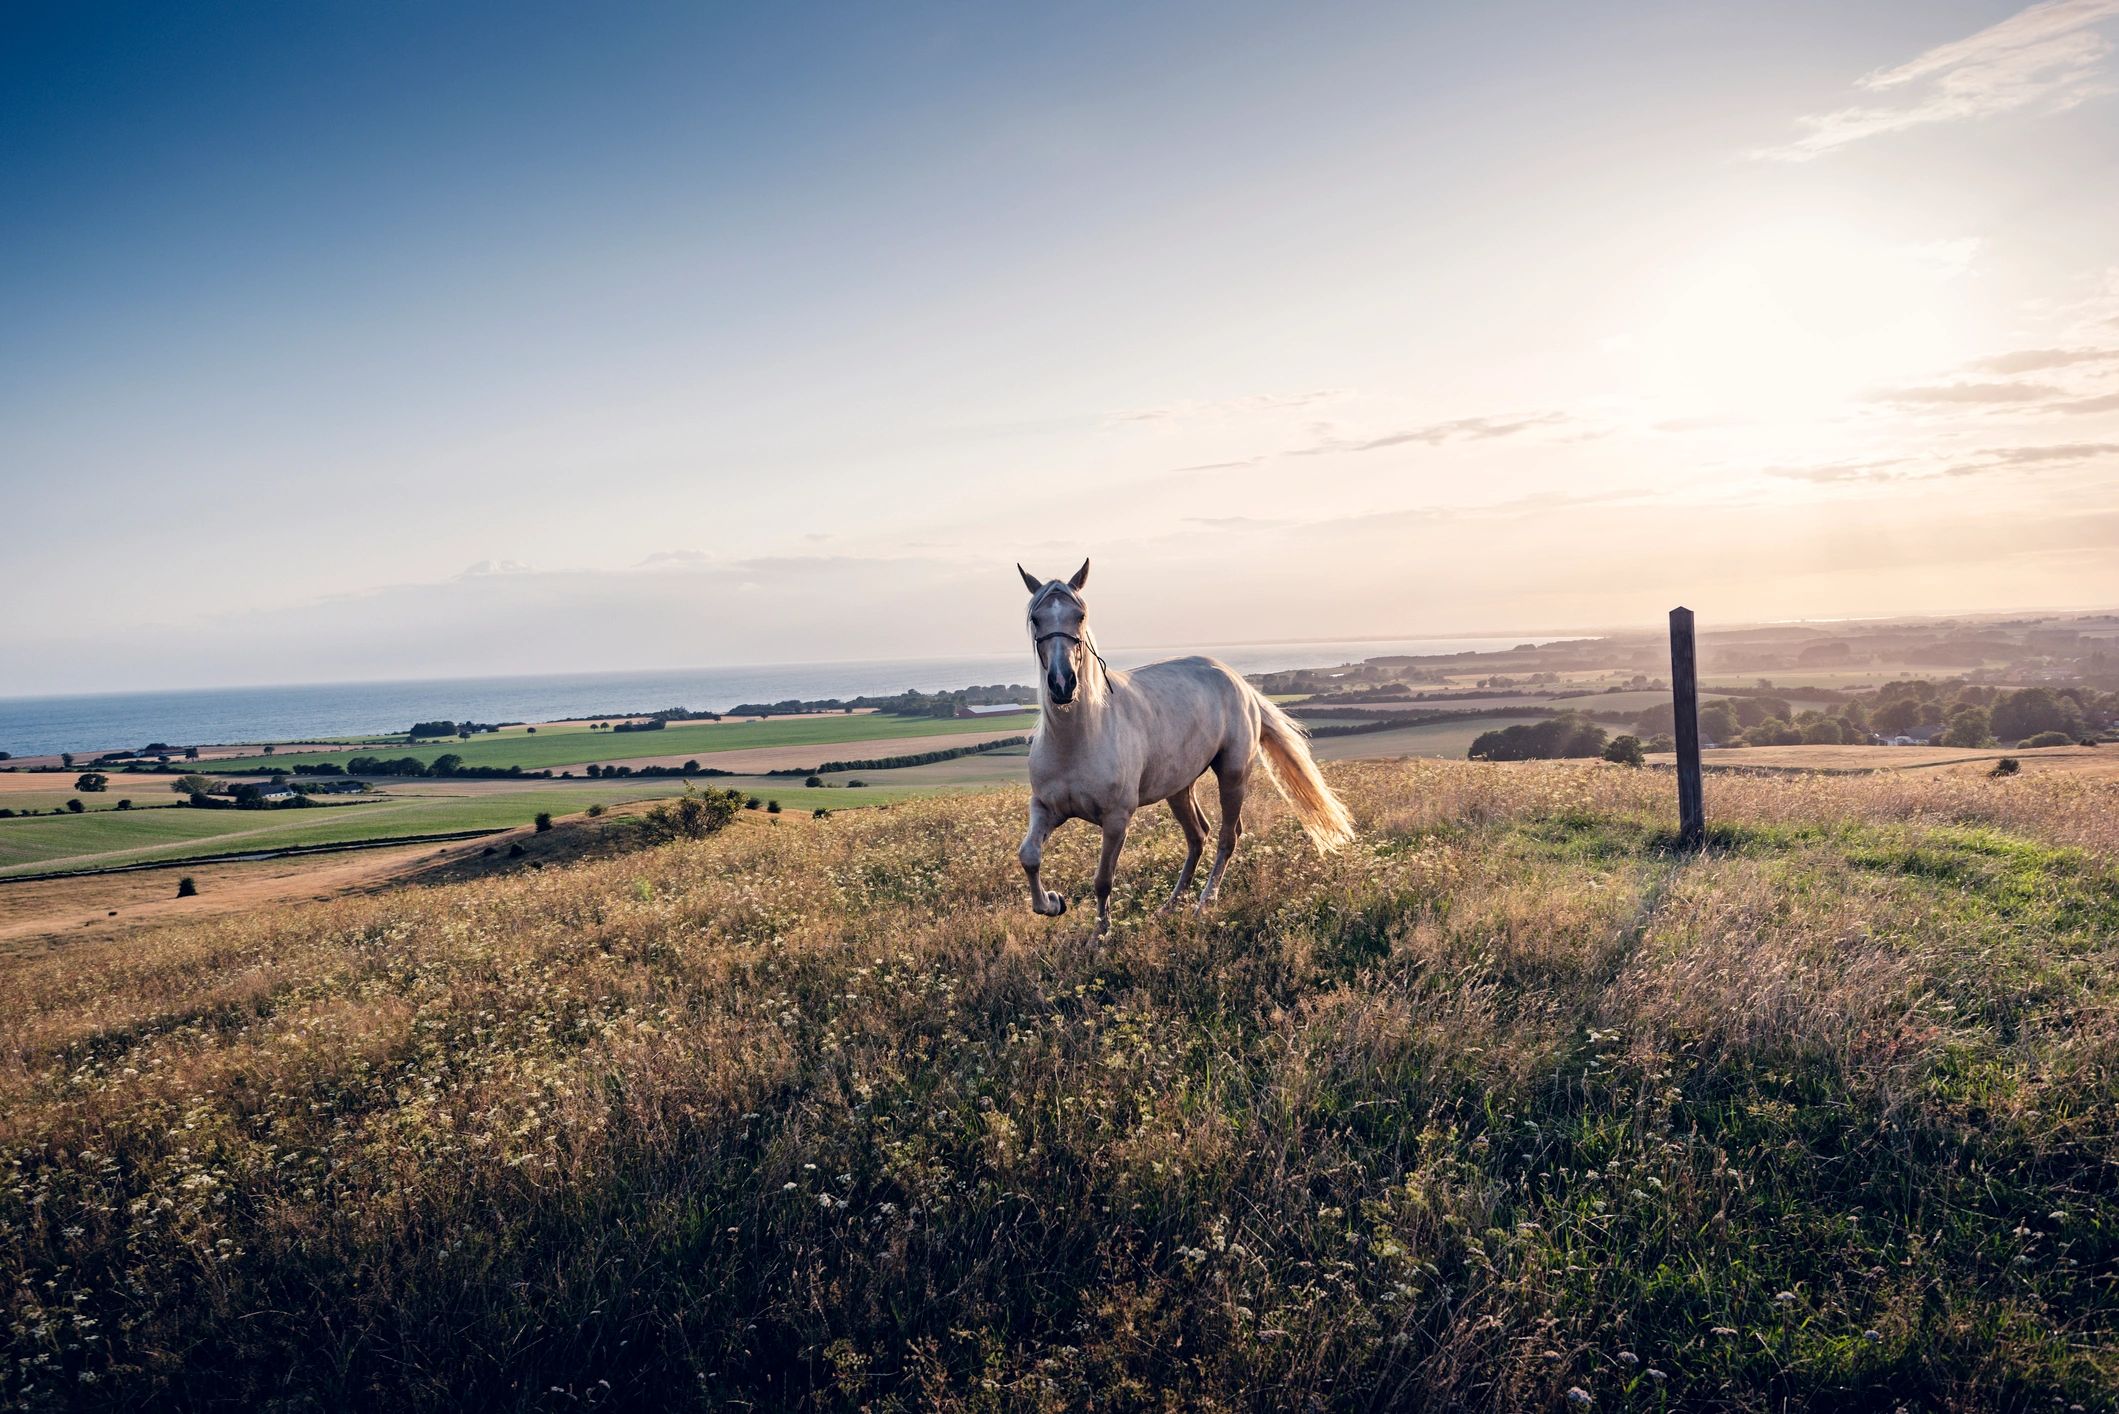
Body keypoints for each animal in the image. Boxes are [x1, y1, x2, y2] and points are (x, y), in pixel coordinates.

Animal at [1015, 558, 1355, 936]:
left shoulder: (1116, 819)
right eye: (1036, 619)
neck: (1078, 738)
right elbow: (1029, 855)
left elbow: (1103, 879)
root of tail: (1239, 683)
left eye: (1080, 615)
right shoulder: (1046, 807)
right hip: (1179, 788)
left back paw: (1204, 903)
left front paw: (1100, 935)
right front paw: (1052, 903)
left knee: (1227, 836)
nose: (1062, 684)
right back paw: (1170, 905)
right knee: (1198, 836)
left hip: (1233, 775)